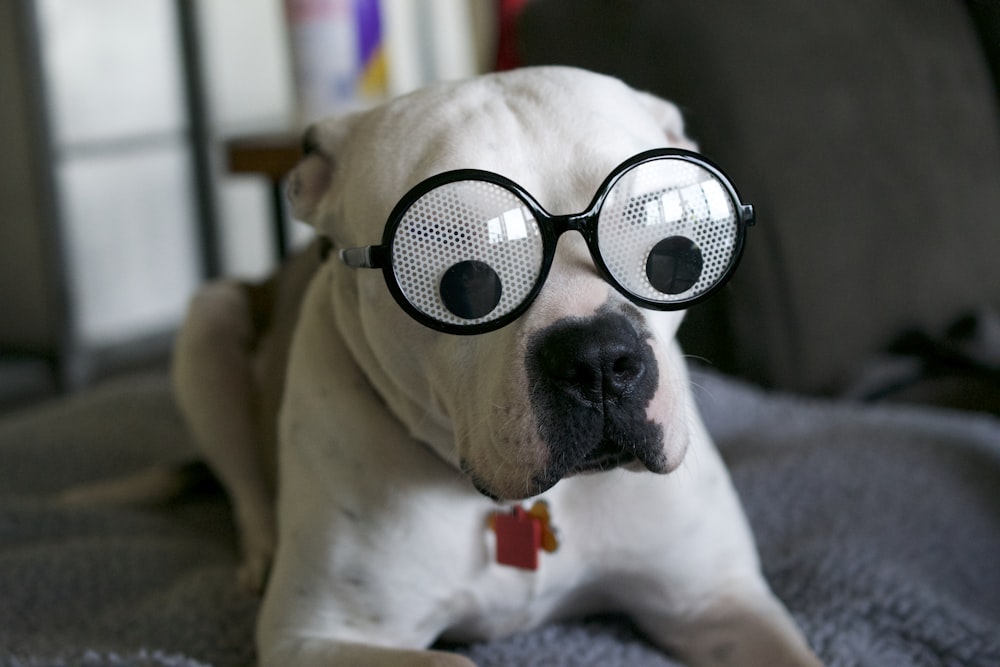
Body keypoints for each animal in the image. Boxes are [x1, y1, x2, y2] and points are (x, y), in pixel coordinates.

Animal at [172, 64, 820, 667]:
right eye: (457, 275)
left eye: (674, 246)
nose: (597, 360)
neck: (523, 507)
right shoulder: (315, 638)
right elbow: (453, 662)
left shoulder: (717, 600)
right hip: (209, 322)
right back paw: (260, 552)